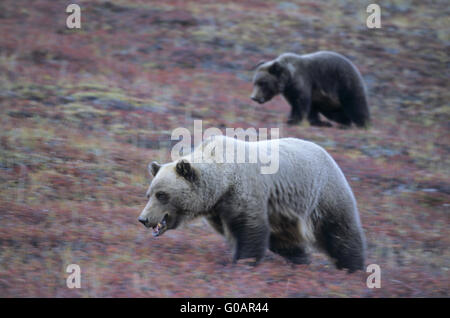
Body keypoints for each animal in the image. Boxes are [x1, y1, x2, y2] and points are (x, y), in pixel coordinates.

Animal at [138, 135, 366, 272]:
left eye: (162, 195)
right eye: (149, 194)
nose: (144, 219)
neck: (222, 184)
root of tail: (325, 152)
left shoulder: (244, 192)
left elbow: (249, 230)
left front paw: (244, 263)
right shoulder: (219, 209)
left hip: (323, 192)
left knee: (339, 229)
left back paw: (353, 267)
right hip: (286, 209)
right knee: (285, 238)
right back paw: (301, 260)